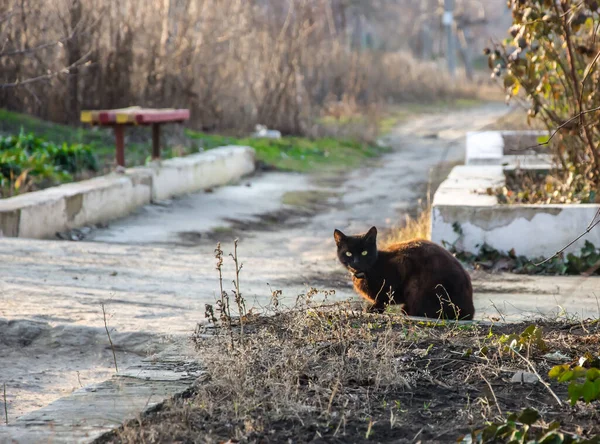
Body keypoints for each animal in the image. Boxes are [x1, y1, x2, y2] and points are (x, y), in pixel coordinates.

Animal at [332, 225, 474, 320]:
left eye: (364, 252)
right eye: (348, 253)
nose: (356, 262)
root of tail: (470, 310)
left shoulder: (402, 263)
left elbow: (385, 297)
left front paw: (375, 308)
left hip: (418, 284)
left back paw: (407, 310)